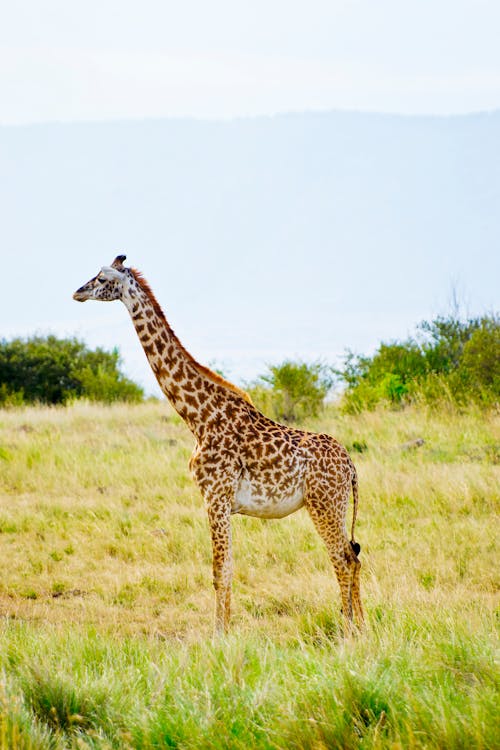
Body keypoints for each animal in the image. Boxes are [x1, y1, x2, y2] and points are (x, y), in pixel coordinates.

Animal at [73, 258, 364, 636]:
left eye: (101, 278)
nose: (77, 292)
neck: (198, 417)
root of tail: (351, 466)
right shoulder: (220, 501)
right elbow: (226, 569)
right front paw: (224, 631)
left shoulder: (215, 497)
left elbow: (219, 572)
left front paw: (219, 636)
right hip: (335, 505)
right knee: (354, 555)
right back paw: (363, 626)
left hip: (324, 504)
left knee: (342, 558)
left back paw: (347, 630)